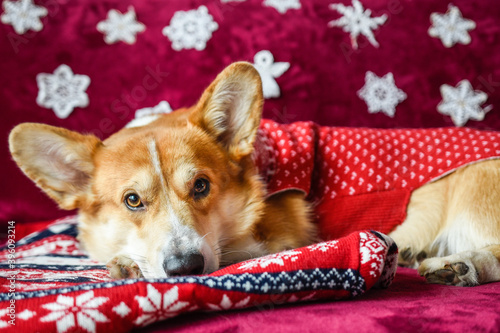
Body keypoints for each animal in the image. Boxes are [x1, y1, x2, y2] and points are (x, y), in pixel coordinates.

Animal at [6, 62, 500, 286]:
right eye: (132, 200)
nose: (185, 268)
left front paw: (129, 263)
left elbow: (231, 254)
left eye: (201, 186)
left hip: (476, 193)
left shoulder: (276, 241)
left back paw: (459, 265)